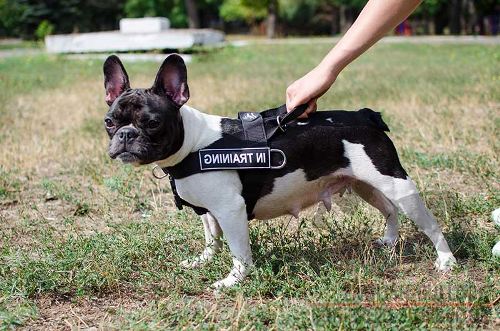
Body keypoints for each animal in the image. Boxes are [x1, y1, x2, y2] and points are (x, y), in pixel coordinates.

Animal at [101, 54, 458, 290]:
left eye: (152, 123)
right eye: (109, 122)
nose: (125, 135)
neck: (192, 143)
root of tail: (364, 115)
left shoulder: (230, 210)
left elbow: (239, 252)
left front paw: (233, 281)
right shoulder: (209, 211)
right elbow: (211, 238)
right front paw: (203, 260)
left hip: (397, 184)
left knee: (428, 222)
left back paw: (446, 261)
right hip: (364, 184)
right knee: (388, 209)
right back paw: (390, 240)